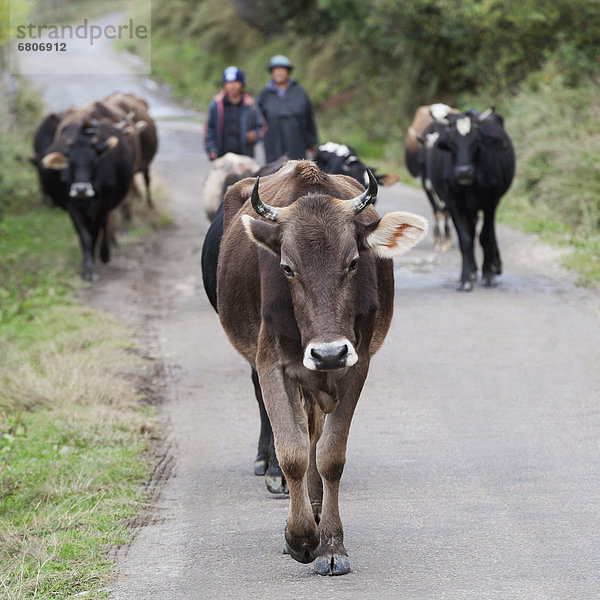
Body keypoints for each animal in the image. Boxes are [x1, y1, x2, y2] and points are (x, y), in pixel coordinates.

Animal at [39, 120, 135, 282]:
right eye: (71, 163)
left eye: (94, 162)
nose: (81, 189)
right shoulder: (72, 207)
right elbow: (85, 237)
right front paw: (87, 268)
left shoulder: (103, 206)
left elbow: (95, 234)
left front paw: (94, 265)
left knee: (106, 226)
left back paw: (104, 254)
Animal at [216, 162, 426, 576]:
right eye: (287, 268)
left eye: (354, 262)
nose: (328, 353)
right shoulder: (271, 364)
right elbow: (292, 453)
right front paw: (299, 538)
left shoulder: (356, 363)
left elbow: (329, 455)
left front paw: (330, 544)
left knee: (315, 438)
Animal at [426, 107, 516, 290]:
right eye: (452, 143)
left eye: (476, 142)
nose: (464, 171)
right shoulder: (454, 204)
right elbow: (465, 239)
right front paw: (466, 277)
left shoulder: (490, 203)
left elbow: (485, 237)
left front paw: (488, 274)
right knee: (472, 231)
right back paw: (474, 270)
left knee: (487, 233)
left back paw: (495, 265)